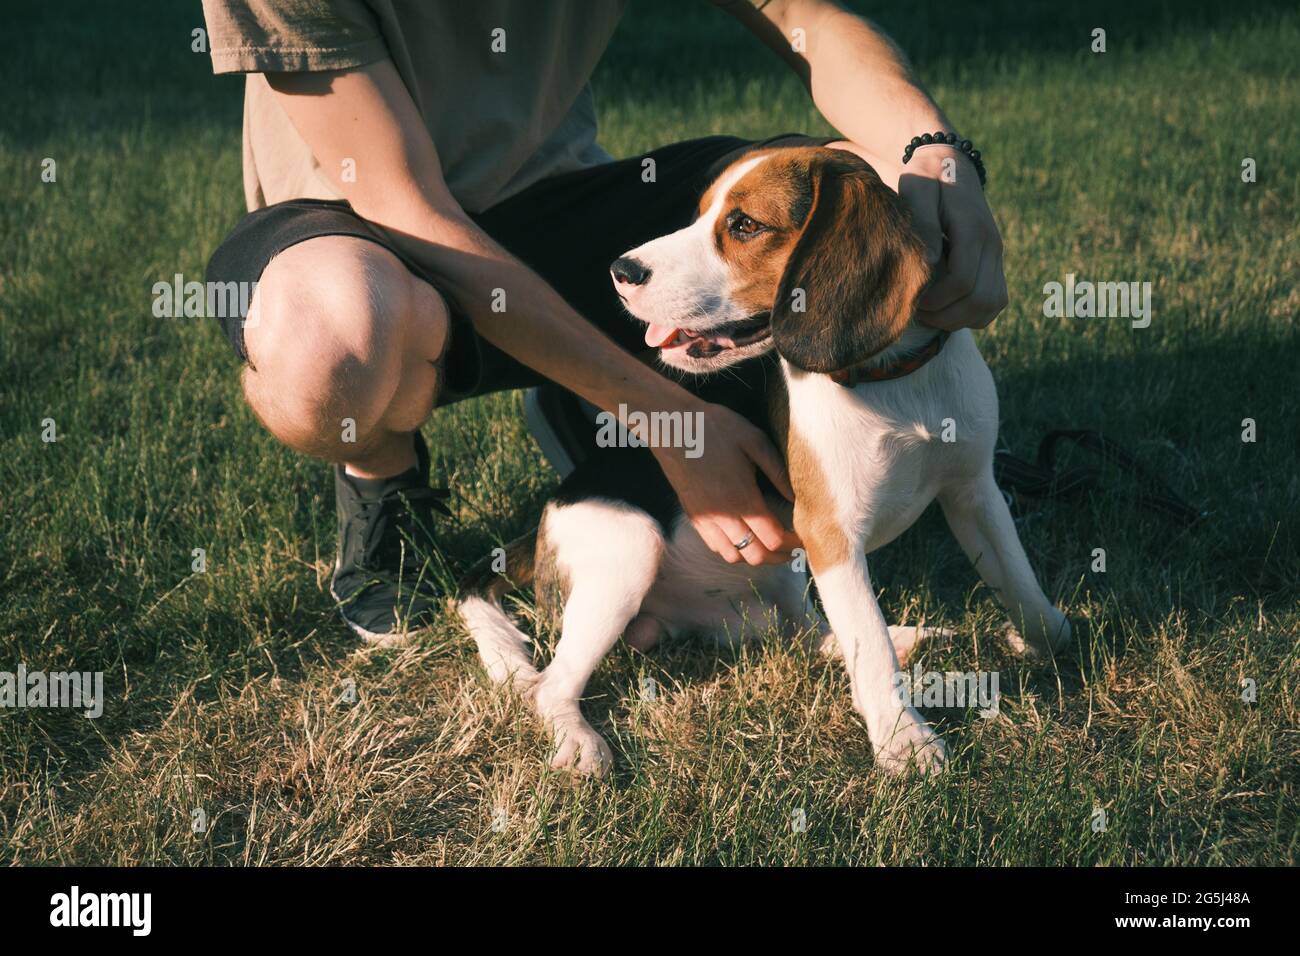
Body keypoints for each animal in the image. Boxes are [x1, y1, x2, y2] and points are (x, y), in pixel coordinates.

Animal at [457, 145, 1066, 780]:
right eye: (701, 213)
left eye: (745, 225)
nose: (620, 271)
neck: (892, 379)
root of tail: (544, 520)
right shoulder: (831, 534)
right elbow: (869, 648)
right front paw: (904, 740)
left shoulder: (974, 492)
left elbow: (1029, 595)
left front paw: (1036, 641)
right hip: (631, 550)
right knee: (549, 687)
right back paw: (579, 741)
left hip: (780, 572)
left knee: (812, 634)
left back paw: (908, 635)